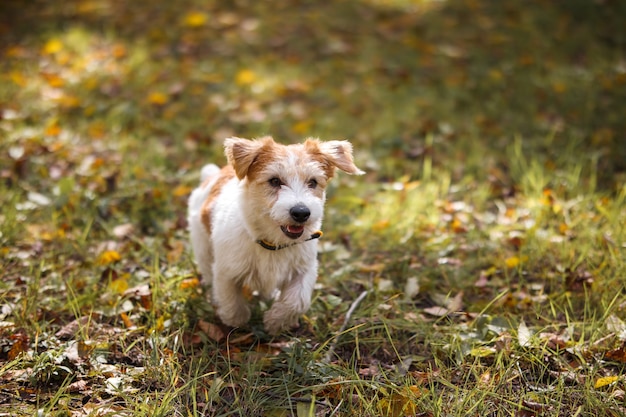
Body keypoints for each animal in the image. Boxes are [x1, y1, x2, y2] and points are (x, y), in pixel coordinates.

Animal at [185, 136, 360, 334]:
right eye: (275, 181)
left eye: (313, 182)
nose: (301, 213)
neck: (272, 242)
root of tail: (213, 175)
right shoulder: (226, 271)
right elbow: (230, 300)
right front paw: (236, 321)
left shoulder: (304, 269)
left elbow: (298, 301)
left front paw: (276, 321)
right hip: (202, 248)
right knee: (208, 273)